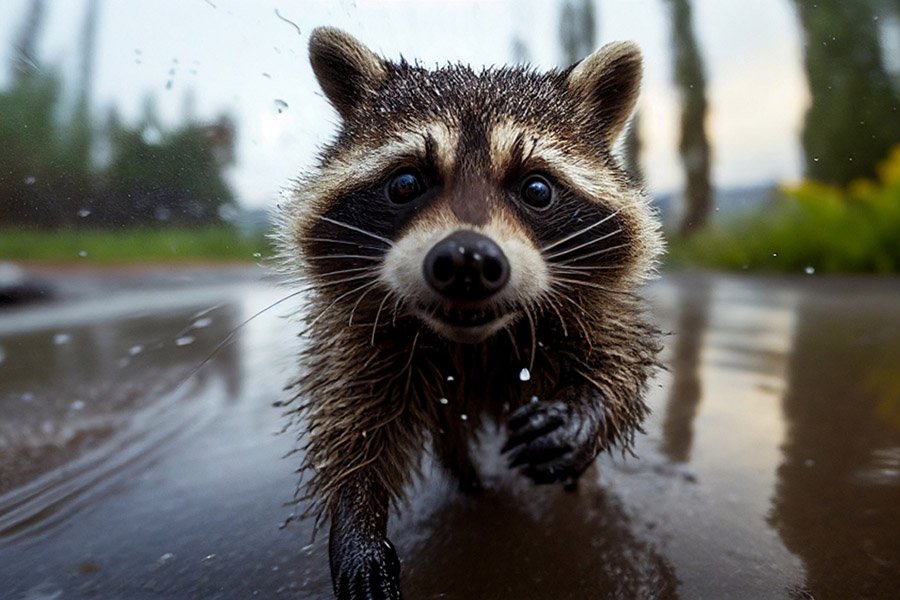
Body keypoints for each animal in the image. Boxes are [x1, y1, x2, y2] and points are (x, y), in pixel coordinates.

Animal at [277, 27, 664, 600]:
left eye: (536, 188)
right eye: (406, 183)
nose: (467, 260)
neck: (474, 341)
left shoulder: (595, 306)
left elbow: (620, 362)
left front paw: (584, 411)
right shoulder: (361, 333)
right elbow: (350, 419)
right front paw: (355, 517)